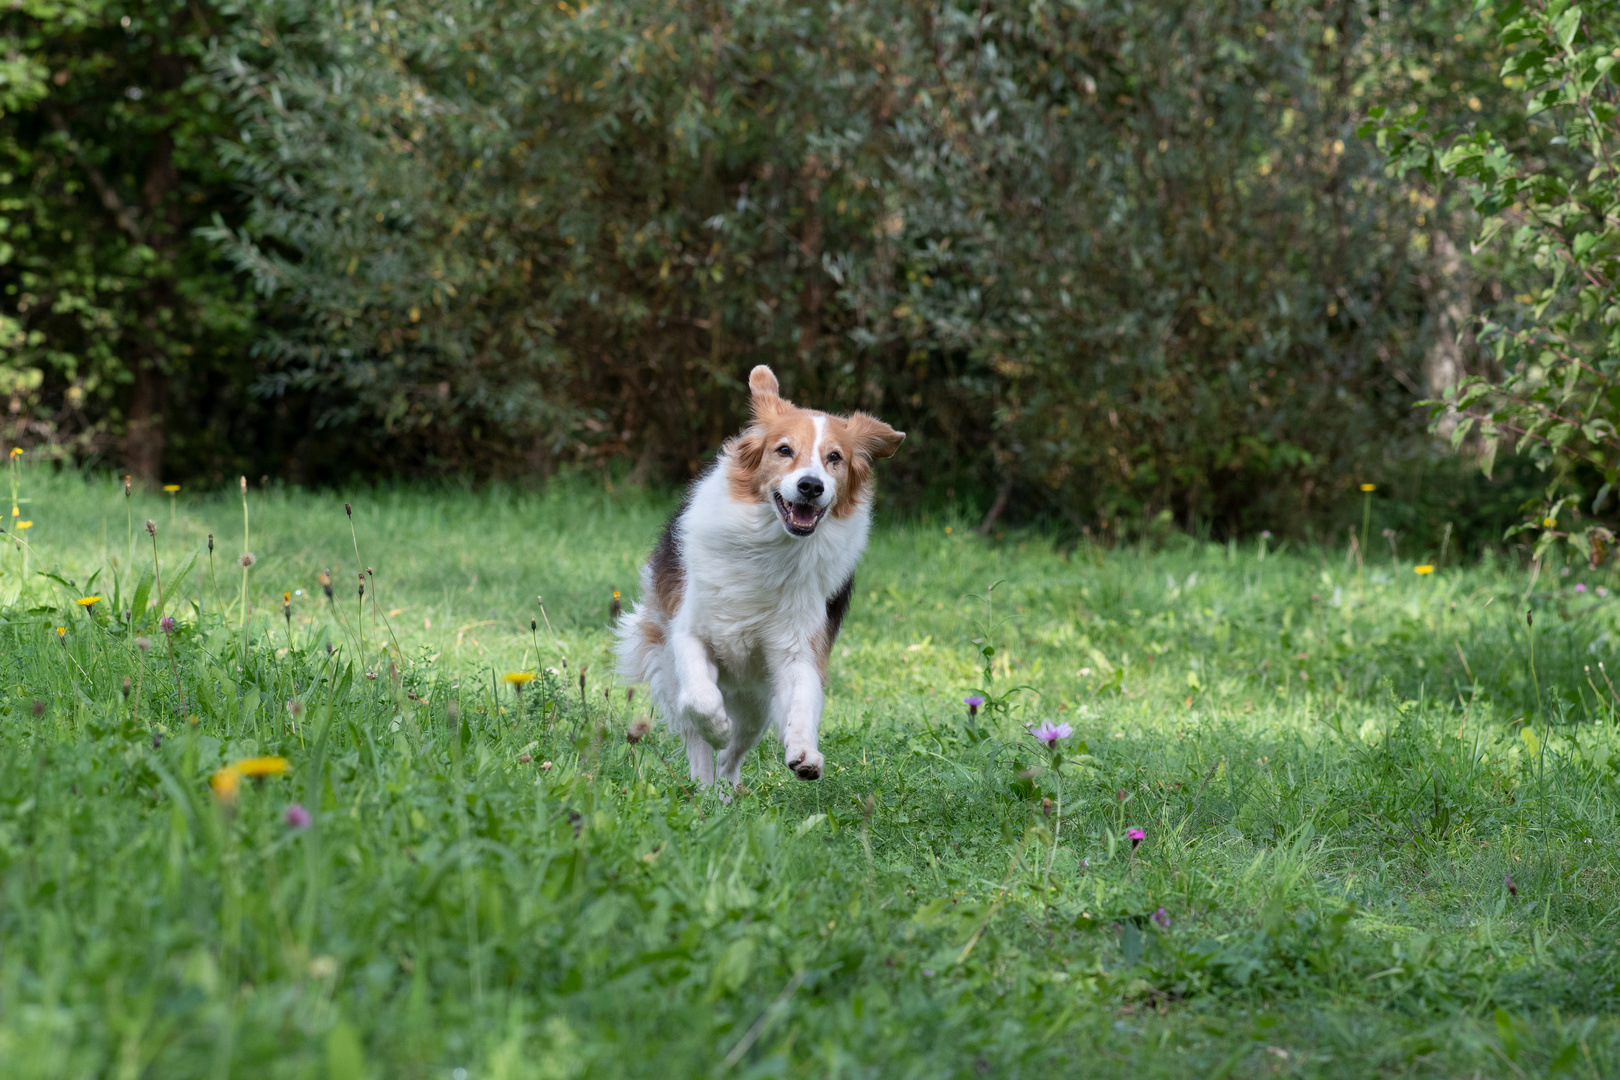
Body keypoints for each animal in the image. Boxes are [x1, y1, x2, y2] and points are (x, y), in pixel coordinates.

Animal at [612, 365, 907, 786]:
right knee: (701, 746)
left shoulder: (799, 647)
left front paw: (804, 753)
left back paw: (725, 789)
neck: (771, 547)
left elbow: (801, 703)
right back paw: (704, 779)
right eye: (783, 450)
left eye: (834, 457)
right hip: (672, 673)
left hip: (756, 706)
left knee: (732, 757)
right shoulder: (690, 631)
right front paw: (716, 726)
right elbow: (700, 699)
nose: (810, 486)